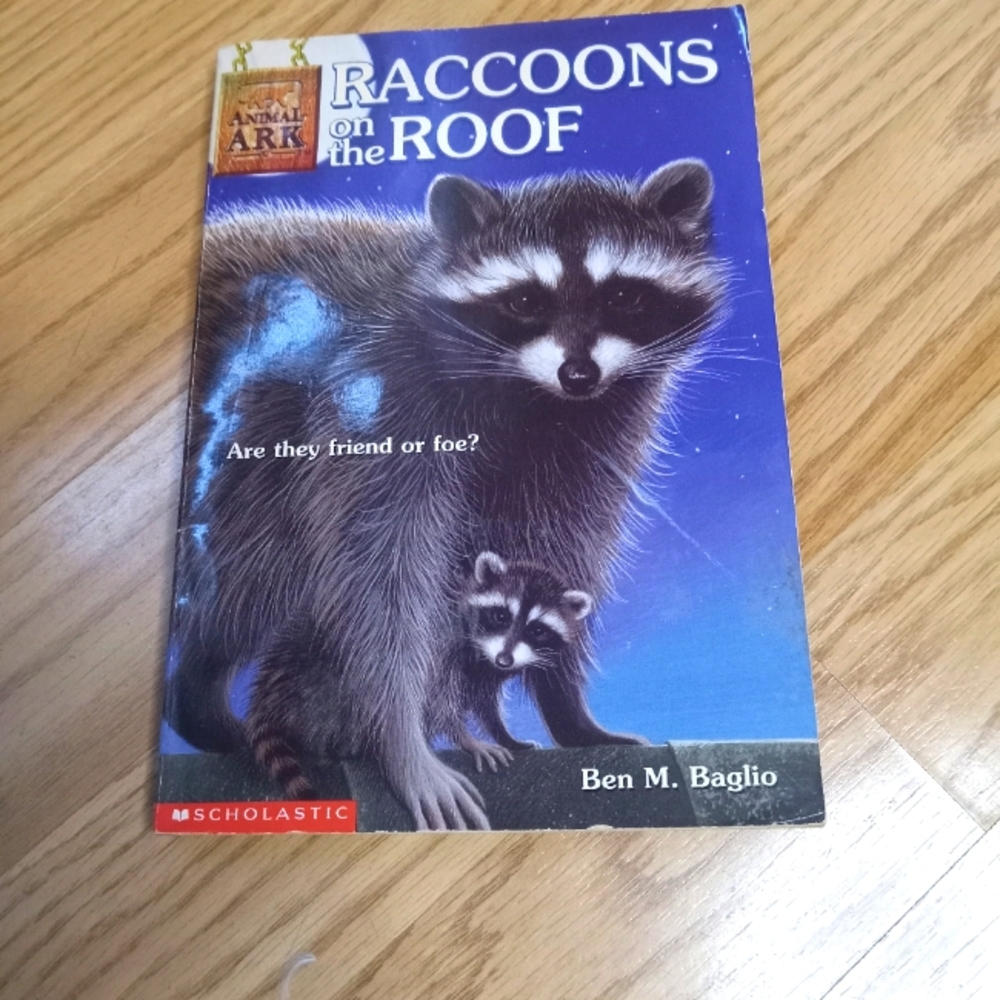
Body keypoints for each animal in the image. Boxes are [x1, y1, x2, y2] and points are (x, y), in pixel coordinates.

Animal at [164, 161, 723, 831]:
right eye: (526, 301)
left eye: (622, 296)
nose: (578, 374)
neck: (531, 399)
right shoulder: (381, 396)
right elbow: (379, 573)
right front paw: (400, 735)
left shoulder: (590, 437)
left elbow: (560, 547)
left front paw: (567, 708)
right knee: (254, 569)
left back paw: (200, 685)